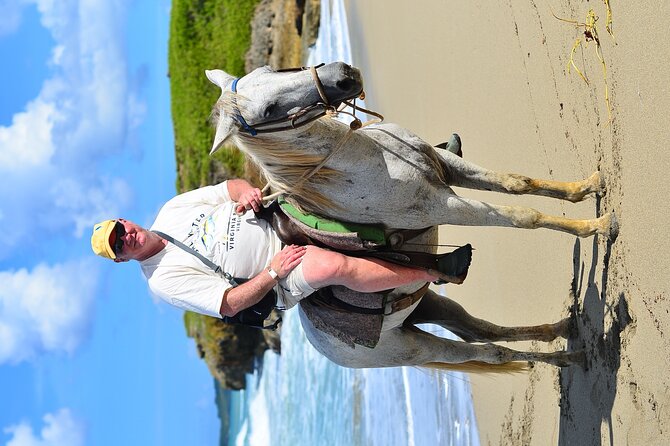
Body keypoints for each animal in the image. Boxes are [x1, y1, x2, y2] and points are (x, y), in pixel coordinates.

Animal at [205, 62, 615, 371]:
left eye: (272, 69)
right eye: (269, 110)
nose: (343, 75)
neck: (359, 161)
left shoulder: (448, 168)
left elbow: (517, 184)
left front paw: (588, 186)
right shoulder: (443, 204)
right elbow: (521, 215)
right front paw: (596, 226)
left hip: (430, 306)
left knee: (482, 330)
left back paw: (561, 332)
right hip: (417, 348)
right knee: (489, 352)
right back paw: (568, 357)